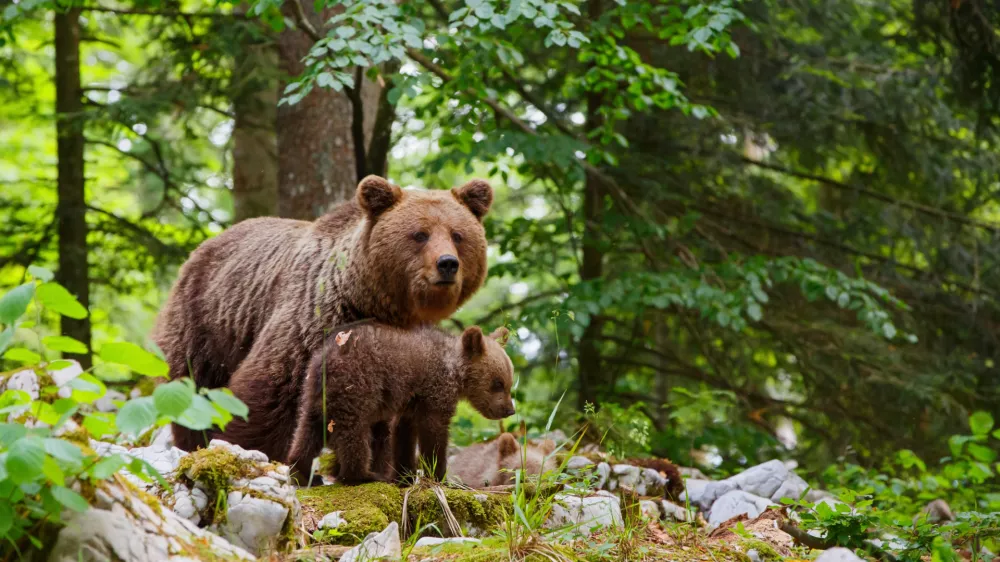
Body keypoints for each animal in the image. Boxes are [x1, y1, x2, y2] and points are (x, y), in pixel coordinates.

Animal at [152, 175, 494, 460]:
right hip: (207, 319)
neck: (373, 302)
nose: (447, 264)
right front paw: (247, 447)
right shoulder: (314, 319)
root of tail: (208, 241)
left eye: (458, 235)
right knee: (193, 385)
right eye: (420, 234)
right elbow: (270, 391)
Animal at [285, 324, 516, 485]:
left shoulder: (411, 403)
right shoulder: (435, 390)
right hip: (357, 385)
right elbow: (434, 432)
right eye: (498, 383)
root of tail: (325, 360)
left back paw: (303, 471)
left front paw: (404, 475)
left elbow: (403, 433)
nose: (510, 410)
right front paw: (439, 475)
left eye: (509, 381)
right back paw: (363, 474)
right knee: (354, 432)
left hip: (314, 393)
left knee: (308, 430)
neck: (455, 371)